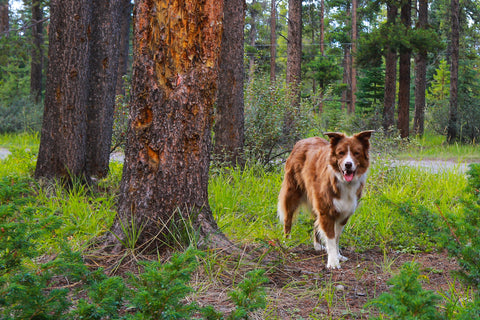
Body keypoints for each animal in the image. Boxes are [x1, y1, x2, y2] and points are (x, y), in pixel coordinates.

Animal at [276, 130, 374, 268]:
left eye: (356, 153)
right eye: (341, 153)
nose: (348, 165)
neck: (343, 182)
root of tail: (302, 141)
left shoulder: (344, 213)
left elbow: (336, 237)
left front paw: (338, 255)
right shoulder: (327, 211)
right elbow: (331, 238)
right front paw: (333, 262)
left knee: (315, 222)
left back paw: (317, 246)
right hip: (292, 193)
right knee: (287, 219)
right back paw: (286, 242)